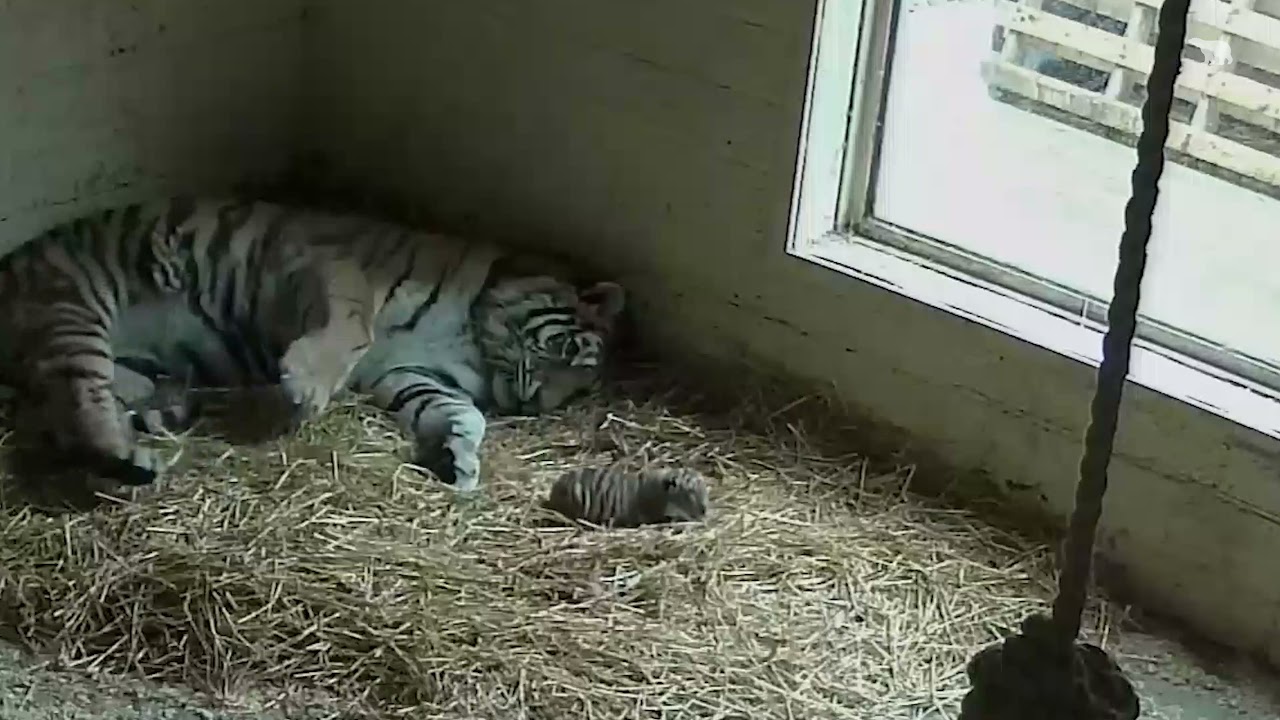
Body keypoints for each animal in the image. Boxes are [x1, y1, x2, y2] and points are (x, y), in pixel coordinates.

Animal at [108, 198, 628, 492]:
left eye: (577, 393)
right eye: (566, 353)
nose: (532, 404)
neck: (472, 336)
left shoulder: (408, 372)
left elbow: (459, 411)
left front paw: (457, 457)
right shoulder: (340, 268)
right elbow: (353, 324)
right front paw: (305, 384)